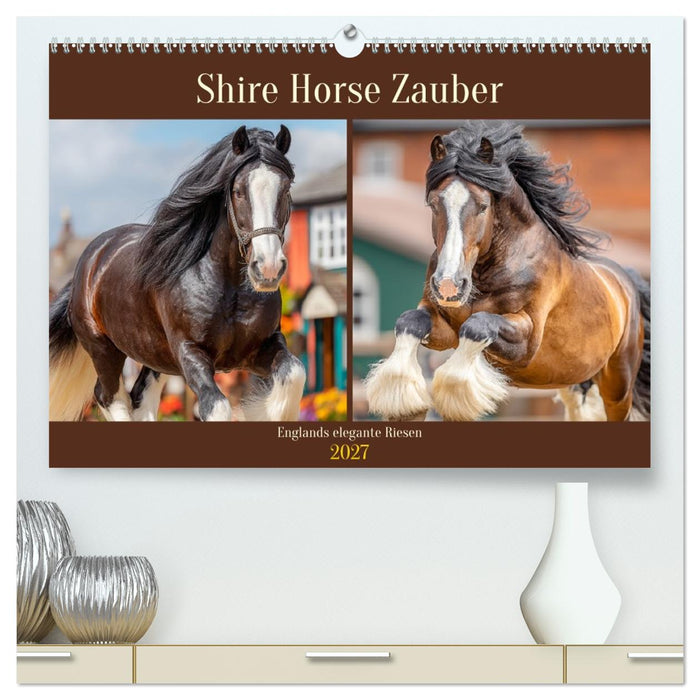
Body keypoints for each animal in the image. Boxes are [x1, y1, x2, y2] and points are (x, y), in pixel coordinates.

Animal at [49, 125, 306, 422]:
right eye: (239, 191)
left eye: (285, 189)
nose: (268, 268)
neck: (227, 288)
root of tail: (91, 260)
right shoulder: (191, 353)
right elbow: (217, 408)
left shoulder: (260, 348)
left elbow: (295, 374)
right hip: (104, 351)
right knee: (109, 397)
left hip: (154, 356)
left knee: (140, 398)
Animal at [366, 121, 650, 422]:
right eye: (434, 204)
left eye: (483, 206)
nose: (448, 286)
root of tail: (626, 282)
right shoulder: (444, 331)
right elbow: (410, 321)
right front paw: (404, 400)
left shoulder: (526, 341)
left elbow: (477, 325)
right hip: (574, 383)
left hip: (618, 387)